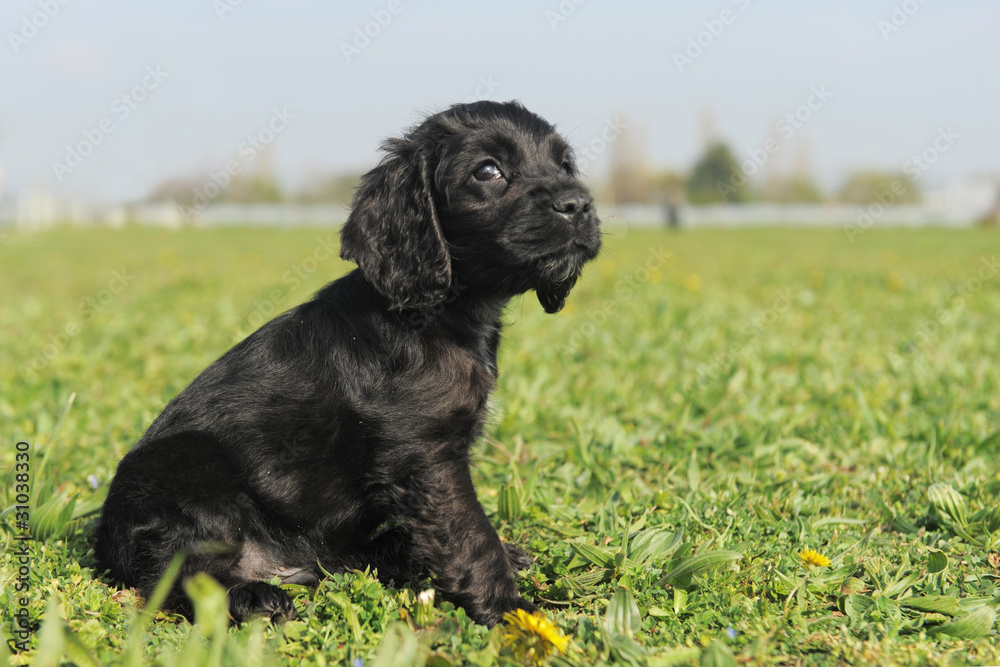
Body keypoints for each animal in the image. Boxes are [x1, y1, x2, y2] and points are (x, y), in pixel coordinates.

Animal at [95, 99, 600, 628]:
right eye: (488, 171)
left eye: (566, 165)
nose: (578, 205)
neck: (439, 313)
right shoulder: (424, 455)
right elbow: (468, 534)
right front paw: (514, 615)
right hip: (187, 470)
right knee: (175, 575)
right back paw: (252, 596)